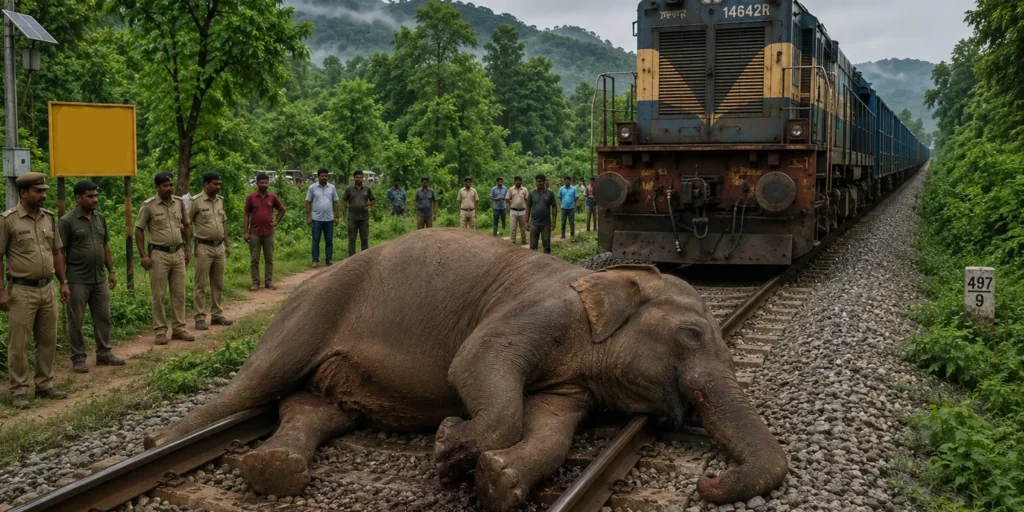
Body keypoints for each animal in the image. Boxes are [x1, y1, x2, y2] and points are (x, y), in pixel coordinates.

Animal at [145, 229, 787, 511]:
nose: (708, 483)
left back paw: (275, 469)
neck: (601, 284)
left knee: (315, 407)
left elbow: (554, 425)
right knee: (259, 383)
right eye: (692, 334)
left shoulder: (573, 378)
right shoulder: (540, 308)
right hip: (309, 309)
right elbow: (476, 360)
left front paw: (496, 479)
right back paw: (161, 445)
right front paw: (453, 446)